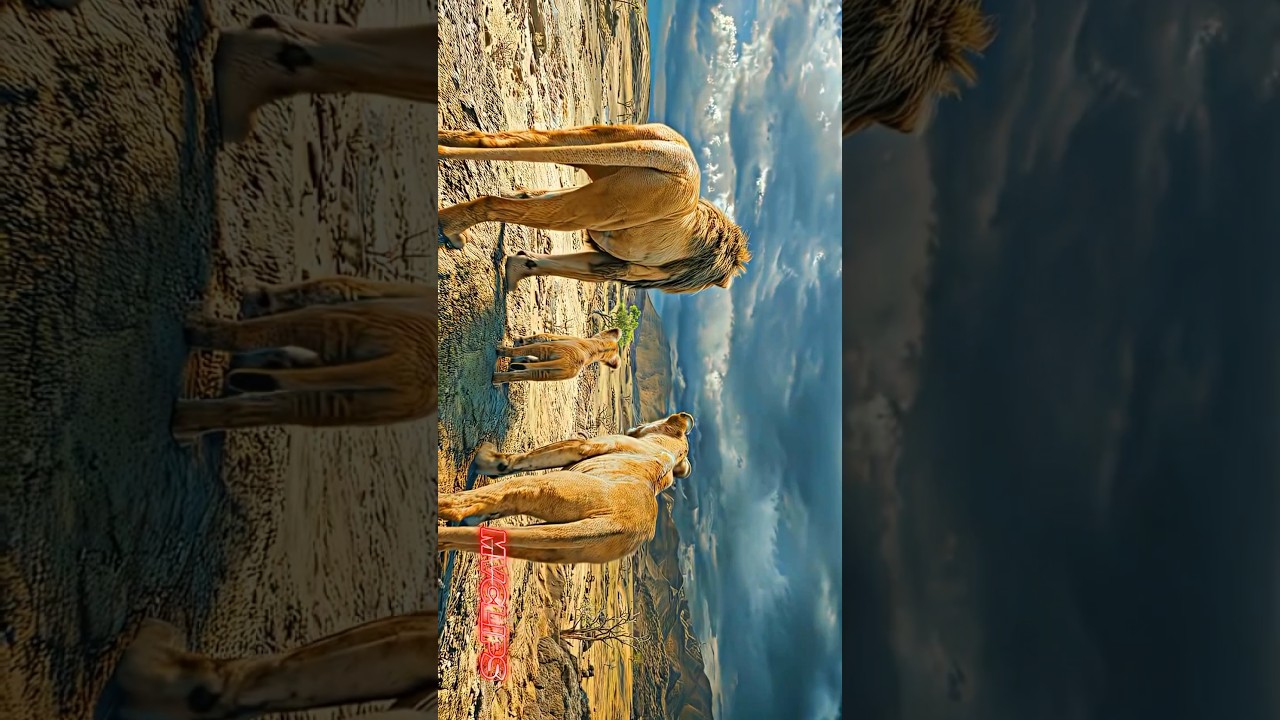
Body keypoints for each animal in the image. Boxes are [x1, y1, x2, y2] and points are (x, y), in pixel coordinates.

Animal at [172, 275, 436, 442]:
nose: (250, 296)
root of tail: (415, 369)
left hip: (339, 323)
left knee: (261, 335)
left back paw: (198, 327)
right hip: (349, 405)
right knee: (270, 407)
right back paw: (186, 421)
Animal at [438, 124, 751, 295]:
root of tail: (677, 157)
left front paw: (516, 268)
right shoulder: (634, 268)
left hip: (607, 142)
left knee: (501, 140)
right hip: (606, 203)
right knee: (496, 204)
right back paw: (450, 230)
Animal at [438, 412, 696, 565]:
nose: (638, 424)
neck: (668, 452)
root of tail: (625, 525)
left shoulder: (583, 446)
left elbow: (523, 460)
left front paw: (487, 459)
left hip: (543, 486)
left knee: (469, 502)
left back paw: (444, 503)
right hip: (545, 545)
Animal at [493, 328, 623, 385]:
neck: (599, 347)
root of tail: (573, 364)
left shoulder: (549, 339)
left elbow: (537, 337)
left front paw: (518, 340)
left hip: (546, 349)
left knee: (519, 352)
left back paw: (501, 350)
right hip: (546, 373)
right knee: (519, 375)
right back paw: (498, 379)